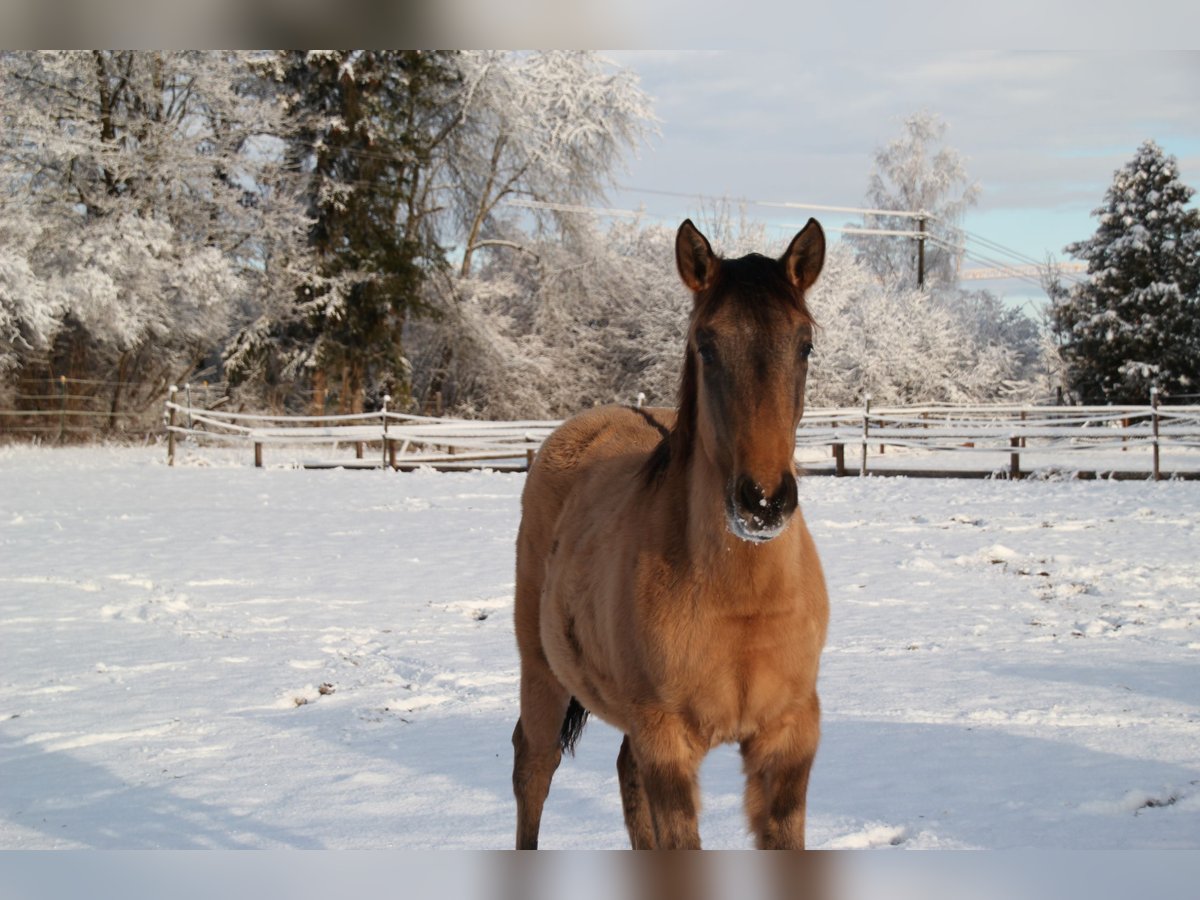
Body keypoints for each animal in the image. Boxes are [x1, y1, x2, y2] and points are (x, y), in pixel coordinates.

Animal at [511, 218, 830, 854]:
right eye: (705, 344)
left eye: (804, 344)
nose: (762, 503)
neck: (741, 601)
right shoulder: (667, 740)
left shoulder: (790, 738)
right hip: (541, 675)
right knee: (533, 769)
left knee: (623, 775)